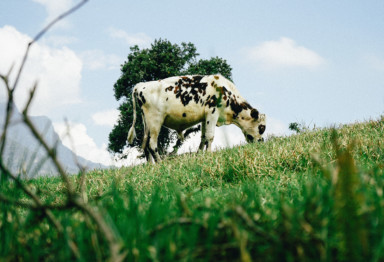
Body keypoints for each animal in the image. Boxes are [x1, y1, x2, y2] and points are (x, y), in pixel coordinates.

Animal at [127, 74, 266, 162]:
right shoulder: (212, 112)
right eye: (262, 127)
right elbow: (210, 136)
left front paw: (200, 155)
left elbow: (203, 137)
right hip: (155, 120)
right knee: (152, 144)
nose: (261, 141)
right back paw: (160, 163)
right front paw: (209, 155)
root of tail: (140, 85)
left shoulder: (204, 118)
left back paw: (150, 165)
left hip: (147, 123)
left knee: (145, 144)